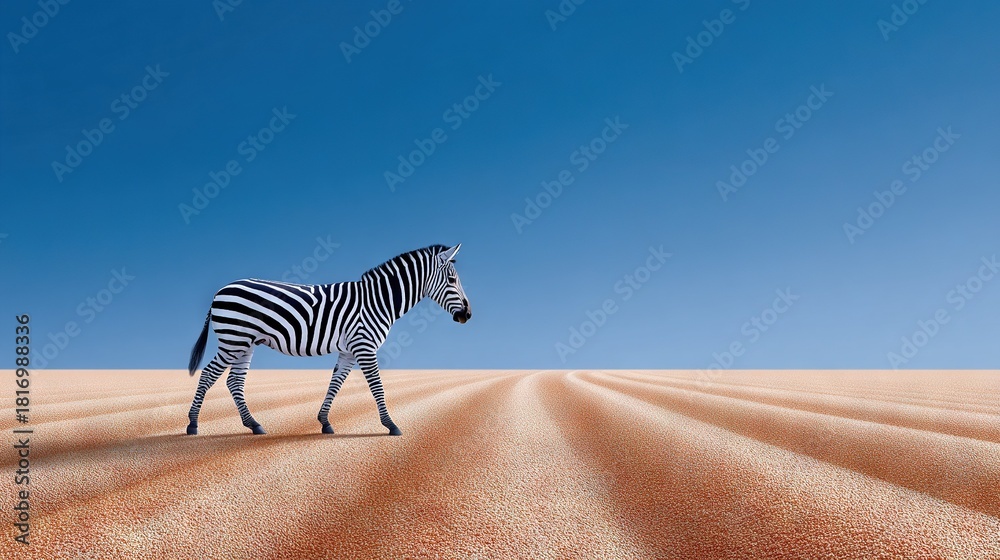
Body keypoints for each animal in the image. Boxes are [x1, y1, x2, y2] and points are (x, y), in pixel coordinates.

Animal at [185, 244, 471, 436]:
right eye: (452, 279)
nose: (467, 315)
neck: (378, 301)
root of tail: (220, 290)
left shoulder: (349, 349)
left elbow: (336, 383)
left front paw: (324, 421)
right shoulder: (364, 345)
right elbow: (377, 386)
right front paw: (391, 425)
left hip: (243, 343)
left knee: (234, 381)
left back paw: (254, 425)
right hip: (233, 340)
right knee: (208, 374)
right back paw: (193, 424)